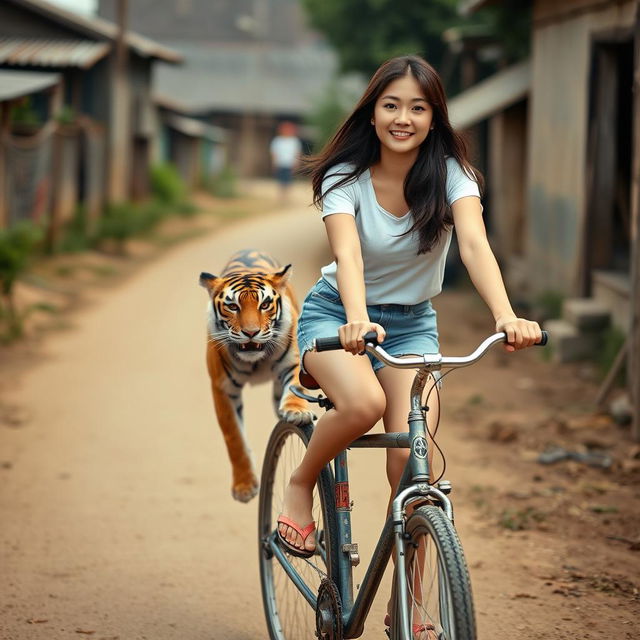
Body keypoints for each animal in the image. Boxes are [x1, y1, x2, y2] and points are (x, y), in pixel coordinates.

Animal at [198, 248, 312, 502]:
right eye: (232, 306)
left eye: (265, 304)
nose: (251, 333)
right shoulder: (222, 388)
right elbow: (234, 437)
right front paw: (244, 487)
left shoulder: (294, 364)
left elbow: (297, 387)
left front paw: (296, 412)